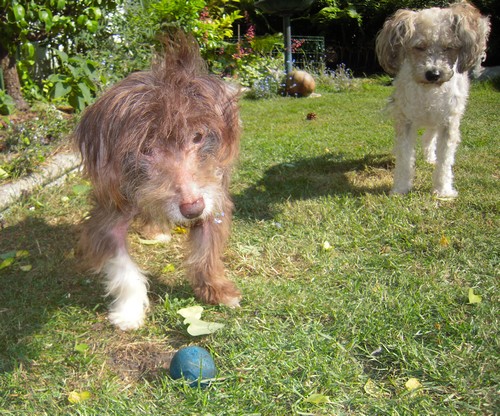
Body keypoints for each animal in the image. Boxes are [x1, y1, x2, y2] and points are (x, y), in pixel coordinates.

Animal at [75, 34, 243, 330]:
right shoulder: (110, 214)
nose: (192, 210)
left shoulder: (212, 196)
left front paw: (216, 290)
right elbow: (124, 268)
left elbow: (207, 252)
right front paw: (129, 312)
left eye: (197, 137)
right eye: (146, 149)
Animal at [376, 1, 490, 197]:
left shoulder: (448, 122)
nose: (433, 74)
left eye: (449, 47)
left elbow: (445, 159)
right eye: (419, 47)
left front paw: (442, 190)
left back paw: (430, 158)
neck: (428, 92)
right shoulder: (405, 120)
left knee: (429, 137)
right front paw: (400, 188)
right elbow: (405, 156)